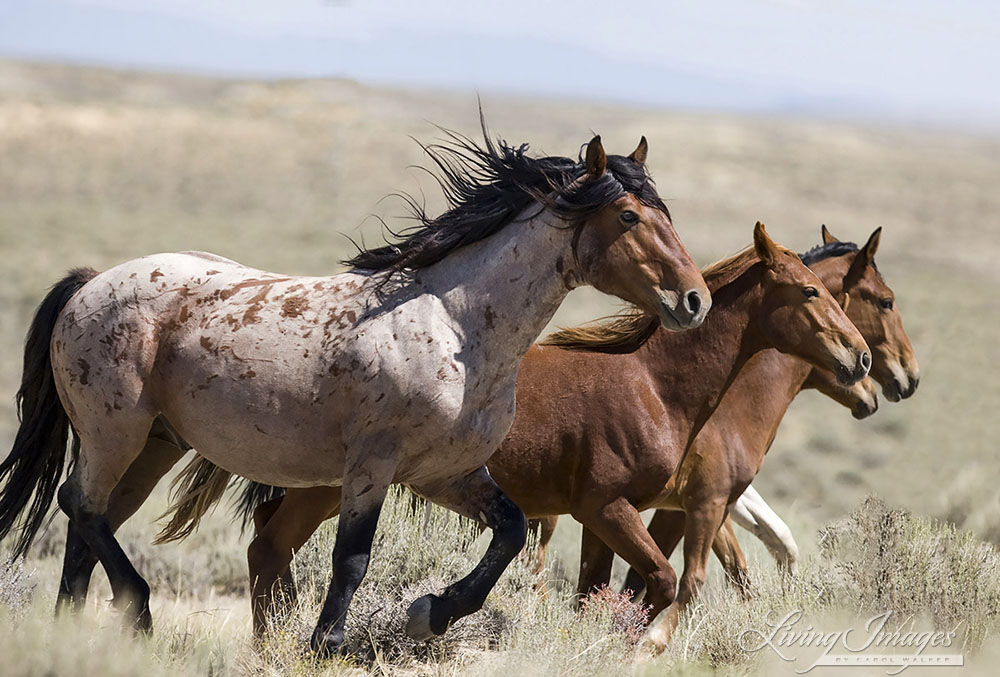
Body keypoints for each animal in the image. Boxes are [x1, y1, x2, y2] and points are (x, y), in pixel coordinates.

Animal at [0, 125, 712, 648]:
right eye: (628, 216)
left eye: (666, 213)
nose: (694, 300)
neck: (454, 325)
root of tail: (90, 283)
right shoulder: (372, 466)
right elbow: (352, 559)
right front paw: (328, 643)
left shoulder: (445, 474)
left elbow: (509, 532)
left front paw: (431, 613)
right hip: (113, 433)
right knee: (80, 506)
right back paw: (139, 611)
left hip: (154, 445)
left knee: (86, 523)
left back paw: (72, 633)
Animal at [164, 220, 868, 644]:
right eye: (812, 293)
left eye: (843, 296)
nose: (863, 363)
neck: (652, 383)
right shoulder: (611, 507)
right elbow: (662, 584)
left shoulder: (614, 514)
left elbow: (608, 591)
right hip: (338, 483)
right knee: (271, 548)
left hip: (329, 485)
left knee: (268, 547)